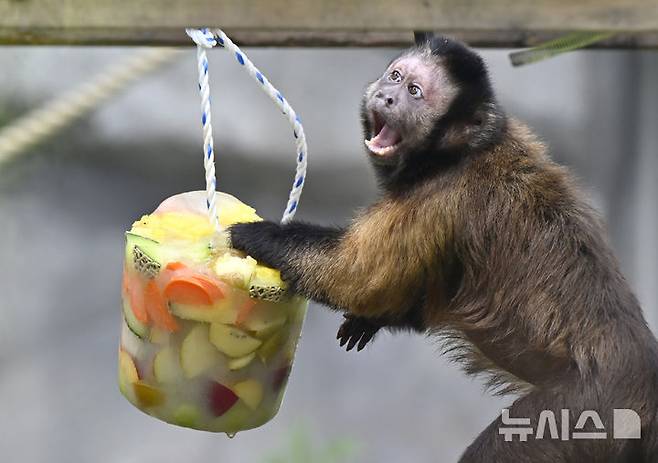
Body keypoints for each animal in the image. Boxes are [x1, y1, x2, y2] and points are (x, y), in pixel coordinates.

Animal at [229, 35, 656, 460]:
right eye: (395, 76)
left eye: (414, 92)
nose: (386, 96)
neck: (455, 153)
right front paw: (373, 320)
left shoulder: (441, 196)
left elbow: (355, 276)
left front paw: (254, 237)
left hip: (586, 412)